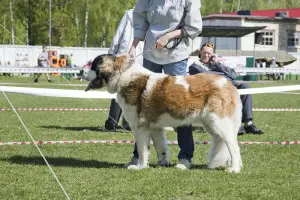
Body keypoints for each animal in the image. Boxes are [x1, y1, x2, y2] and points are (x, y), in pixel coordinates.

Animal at [84, 54, 244, 173]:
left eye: (92, 65)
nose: (81, 72)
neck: (123, 74)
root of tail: (228, 84)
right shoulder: (155, 127)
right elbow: (160, 146)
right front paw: (163, 162)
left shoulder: (140, 127)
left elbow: (142, 149)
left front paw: (140, 166)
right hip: (210, 123)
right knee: (220, 141)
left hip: (218, 121)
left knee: (234, 146)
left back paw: (234, 168)